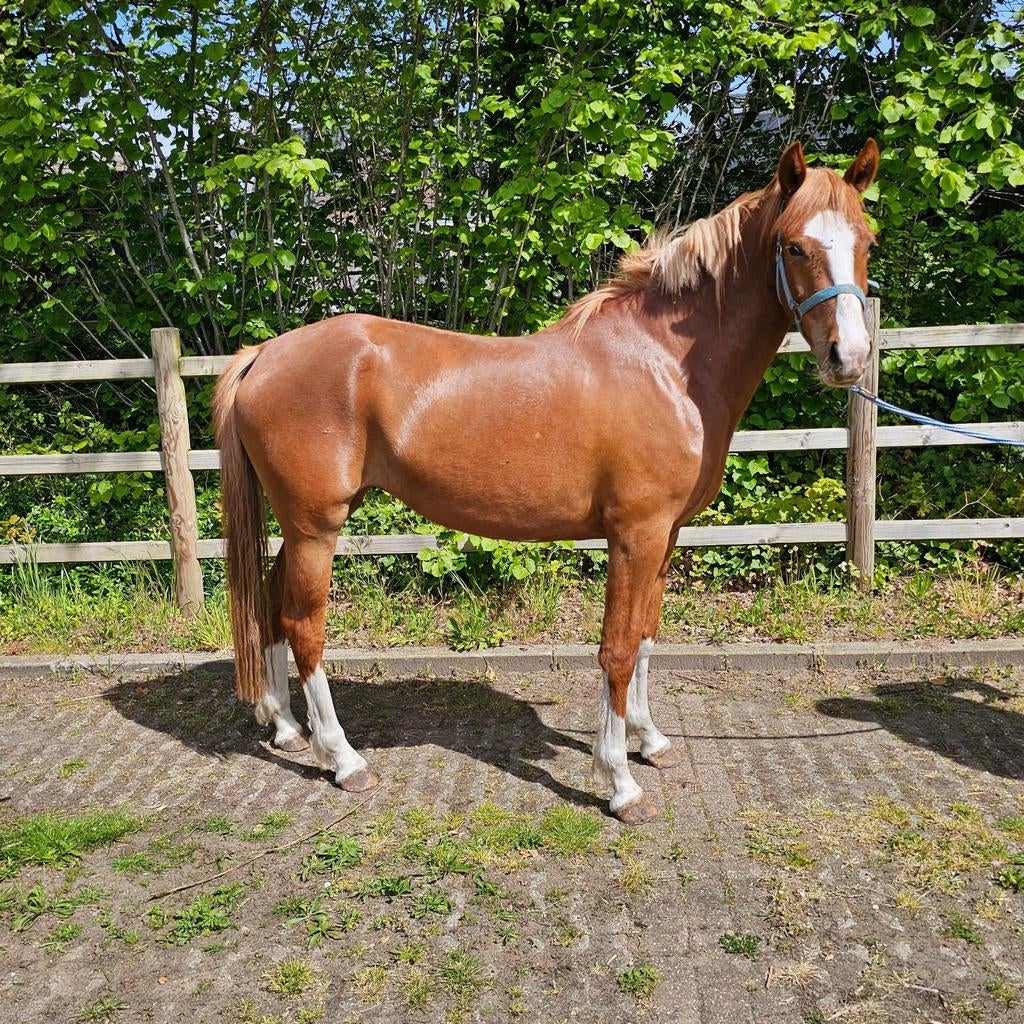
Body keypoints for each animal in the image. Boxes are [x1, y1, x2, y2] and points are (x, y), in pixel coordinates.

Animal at [213, 138, 879, 824]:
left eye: (868, 242)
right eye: (794, 246)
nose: (849, 359)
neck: (666, 365)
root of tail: (264, 354)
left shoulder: (665, 534)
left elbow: (645, 635)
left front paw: (650, 740)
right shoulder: (635, 533)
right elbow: (617, 646)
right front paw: (619, 781)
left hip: (300, 527)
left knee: (270, 606)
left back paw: (288, 729)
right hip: (316, 527)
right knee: (304, 627)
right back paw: (343, 759)